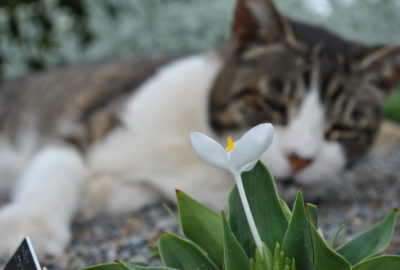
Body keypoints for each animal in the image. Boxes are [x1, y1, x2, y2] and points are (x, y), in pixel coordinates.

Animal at [0, 0, 400, 260]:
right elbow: (54, 175)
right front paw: (24, 226)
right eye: (272, 104)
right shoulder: (83, 132)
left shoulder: (142, 186)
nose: (300, 159)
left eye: (342, 128)